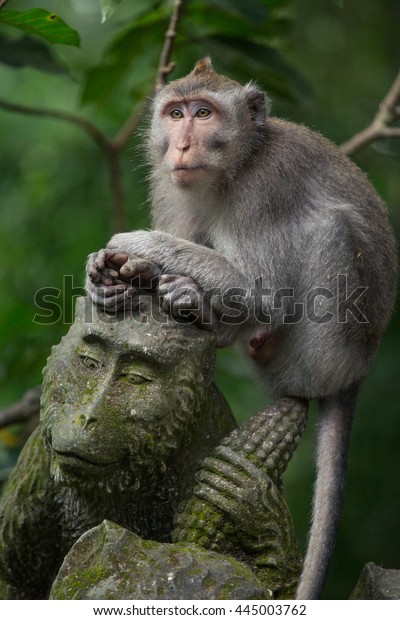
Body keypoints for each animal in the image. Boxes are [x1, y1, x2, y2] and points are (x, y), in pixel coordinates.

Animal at [86, 59, 396, 600]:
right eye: (175, 114)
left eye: (204, 113)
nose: (181, 145)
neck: (235, 166)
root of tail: (355, 373)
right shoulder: (170, 186)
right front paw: (112, 275)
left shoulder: (266, 187)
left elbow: (262, 289)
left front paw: (136, 245)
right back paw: (192, 304)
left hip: (321, 349)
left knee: (329, 229)